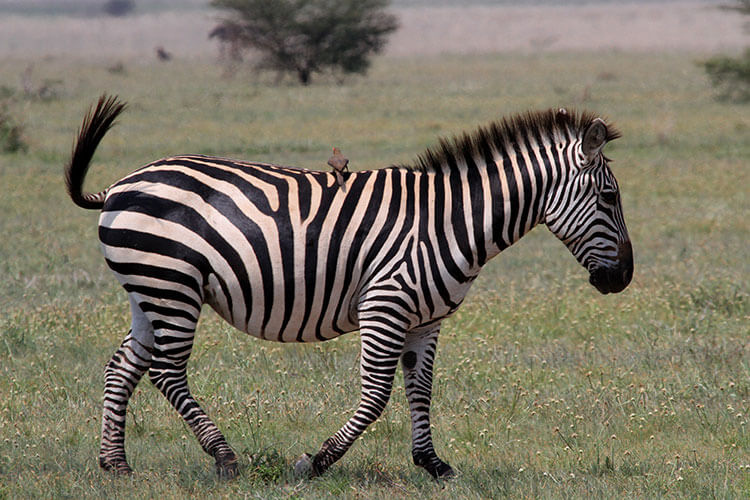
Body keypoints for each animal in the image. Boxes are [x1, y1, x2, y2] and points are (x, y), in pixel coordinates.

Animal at [64, 94, 636, 480]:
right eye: (609, 198)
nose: (624, 279)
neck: (449, 223)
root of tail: (118, 185)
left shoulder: (426, 319)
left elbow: (420, 389)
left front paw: (433, 464)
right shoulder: (385, 304)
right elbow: (377, 395)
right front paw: (316, 461)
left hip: (150, 290)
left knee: (123, 366)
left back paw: (115, 463)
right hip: (172, 284)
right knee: (166, 371)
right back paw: (224, 456)